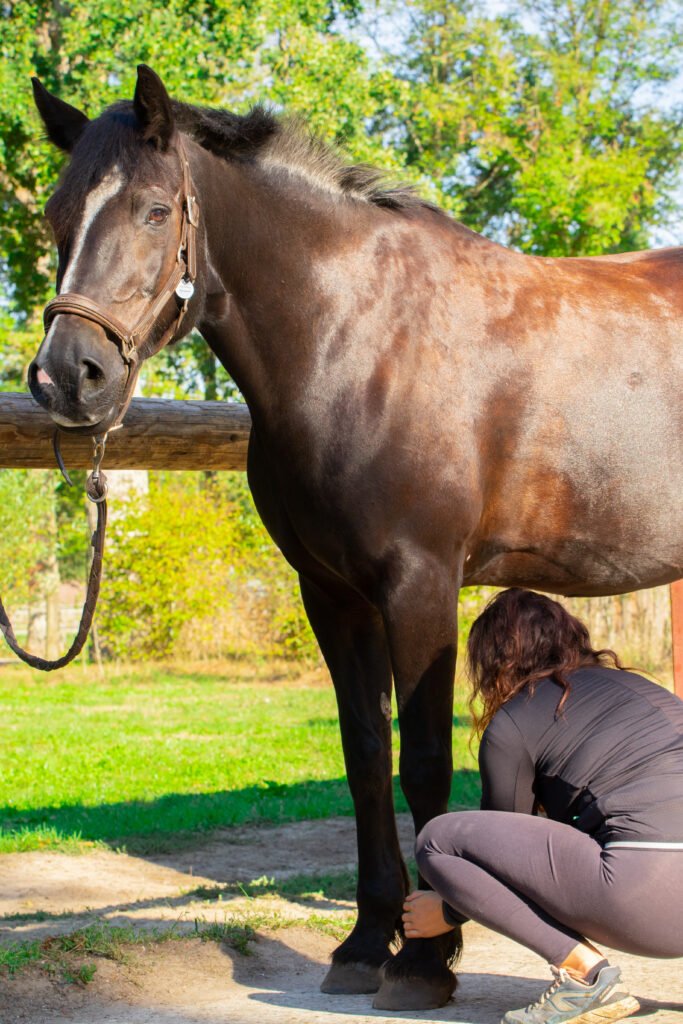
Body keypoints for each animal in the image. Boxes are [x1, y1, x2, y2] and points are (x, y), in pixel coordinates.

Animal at [28, 65, 683, 1010]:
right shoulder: (332, 593)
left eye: (154, 210)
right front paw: (368, 942)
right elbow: (365, 755)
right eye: (56, 212)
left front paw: (424, 959)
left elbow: (425, 765)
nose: (67, 377)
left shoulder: (419, 586)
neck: (358, 339)